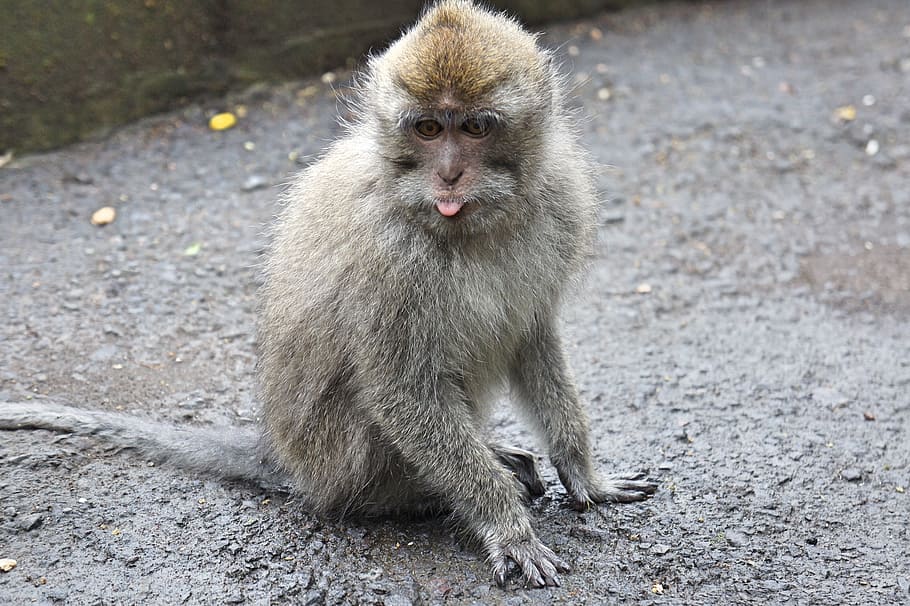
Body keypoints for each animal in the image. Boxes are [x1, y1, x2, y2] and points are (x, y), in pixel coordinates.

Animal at [0, 0, 657, 588]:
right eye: (427, 128)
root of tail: (291, 462)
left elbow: (533, 336)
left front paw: (584, 474)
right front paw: (505, 524)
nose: (448, 175)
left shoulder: (557, 201)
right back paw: (439, 488)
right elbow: (400, 388)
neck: (470, 224)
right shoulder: (387, 257)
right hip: (345, 462)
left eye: (473, 126)